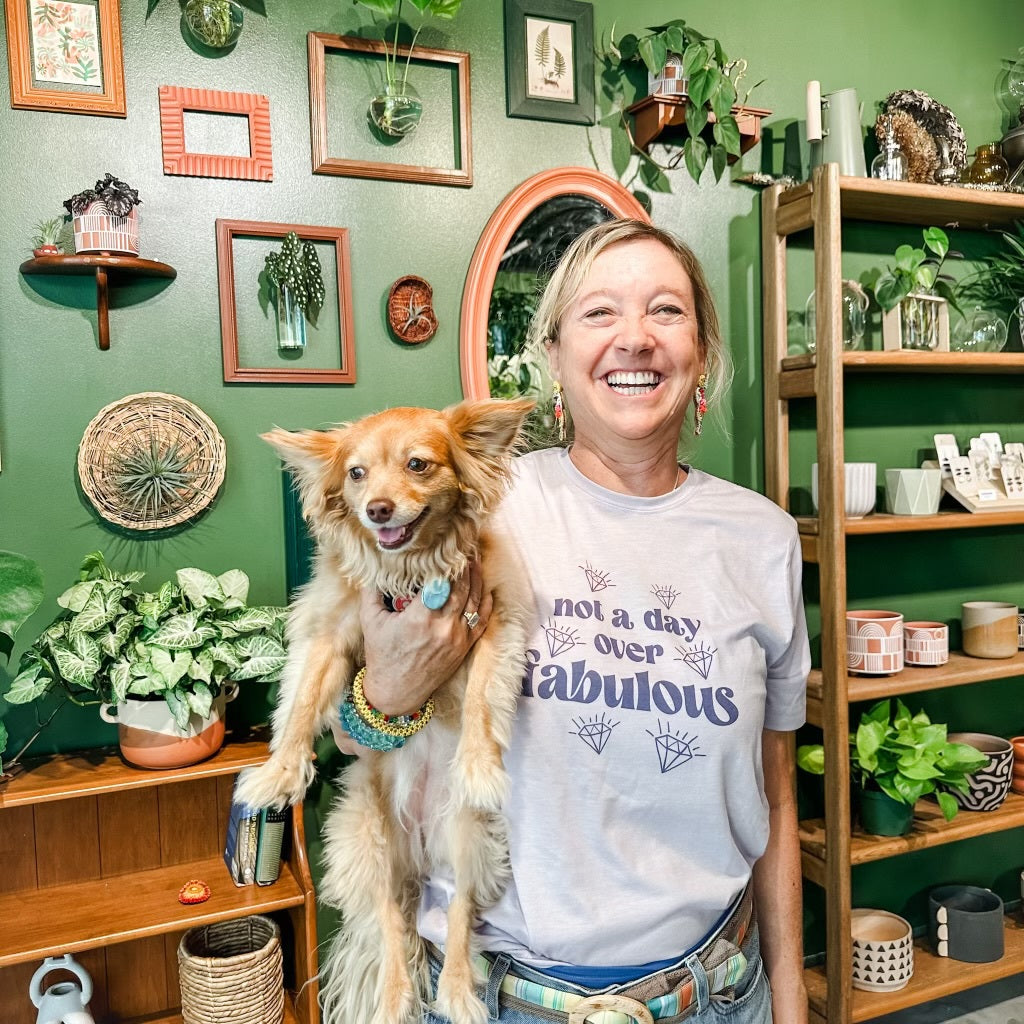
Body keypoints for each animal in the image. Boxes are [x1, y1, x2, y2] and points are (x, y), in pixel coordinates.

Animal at [234, 397, 532, 1024]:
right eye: (356, 474)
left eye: (418, 464)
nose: (377, 509)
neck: (411, 574)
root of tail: (417, 858)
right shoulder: (329, 632)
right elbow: (301, 703)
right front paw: (277, 775)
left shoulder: (496, 624)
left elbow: (480, 698)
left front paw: (478, 765)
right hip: (366, 844)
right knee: (393, 927)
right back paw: (395, 999)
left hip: (469, 843)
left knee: (459, 917)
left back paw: (458, 993)